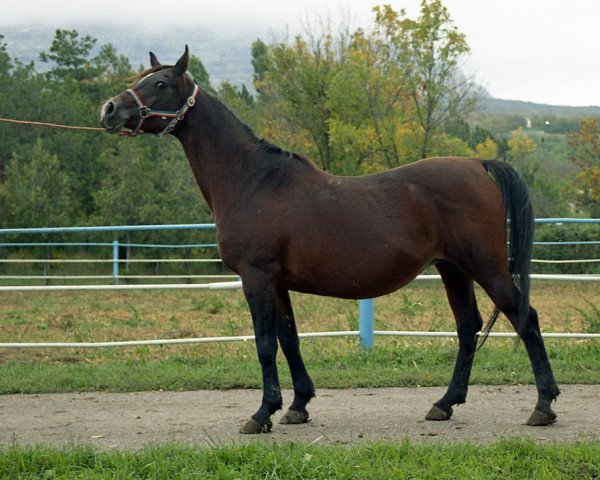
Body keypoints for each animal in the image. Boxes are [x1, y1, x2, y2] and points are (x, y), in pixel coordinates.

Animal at [101, 47, 560, 434]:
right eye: (141, 77)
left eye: (161, 83)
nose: (110, 109)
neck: (251, 179)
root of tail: (477, 164)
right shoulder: (277, 283)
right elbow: (289, 340)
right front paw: (297, 406)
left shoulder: (256, 277)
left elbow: (265, 344)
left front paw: (261, 414)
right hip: (453, 269)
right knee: (468, 327)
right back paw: (444, 404)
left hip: (486, 267)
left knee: (525, 319)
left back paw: (543, 406)